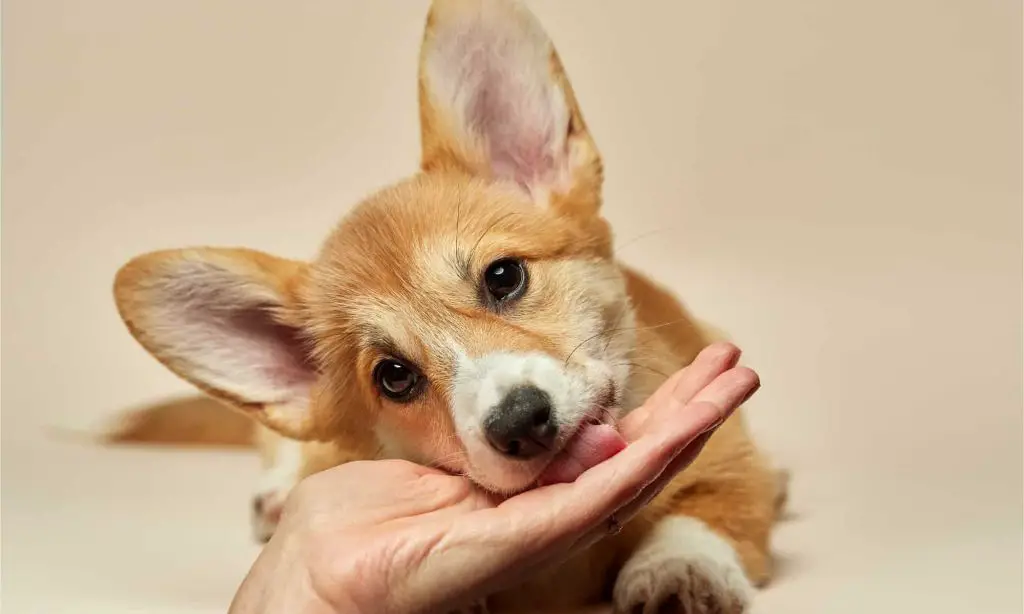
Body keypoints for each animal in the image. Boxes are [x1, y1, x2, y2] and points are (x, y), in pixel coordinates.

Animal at [110, 2, 782, 609]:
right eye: (394, 376)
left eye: (504, 277)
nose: (520, 422)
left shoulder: (738, 465)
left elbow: (700, 518)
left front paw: (679, 570)